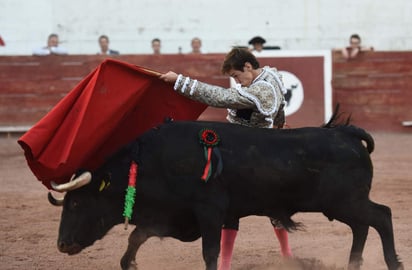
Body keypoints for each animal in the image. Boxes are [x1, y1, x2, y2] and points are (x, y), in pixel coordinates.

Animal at [47, 119, 402, 268]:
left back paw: (392, 263)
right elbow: (137, 237)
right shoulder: (171, 215)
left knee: (381, 216)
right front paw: (128, 263)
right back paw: (353, 264)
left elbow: (210, 252)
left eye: (76, 203)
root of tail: (346, 133)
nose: (62, 245)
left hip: (346, 202)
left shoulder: (209, 211)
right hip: (344, 205)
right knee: (363, 226)